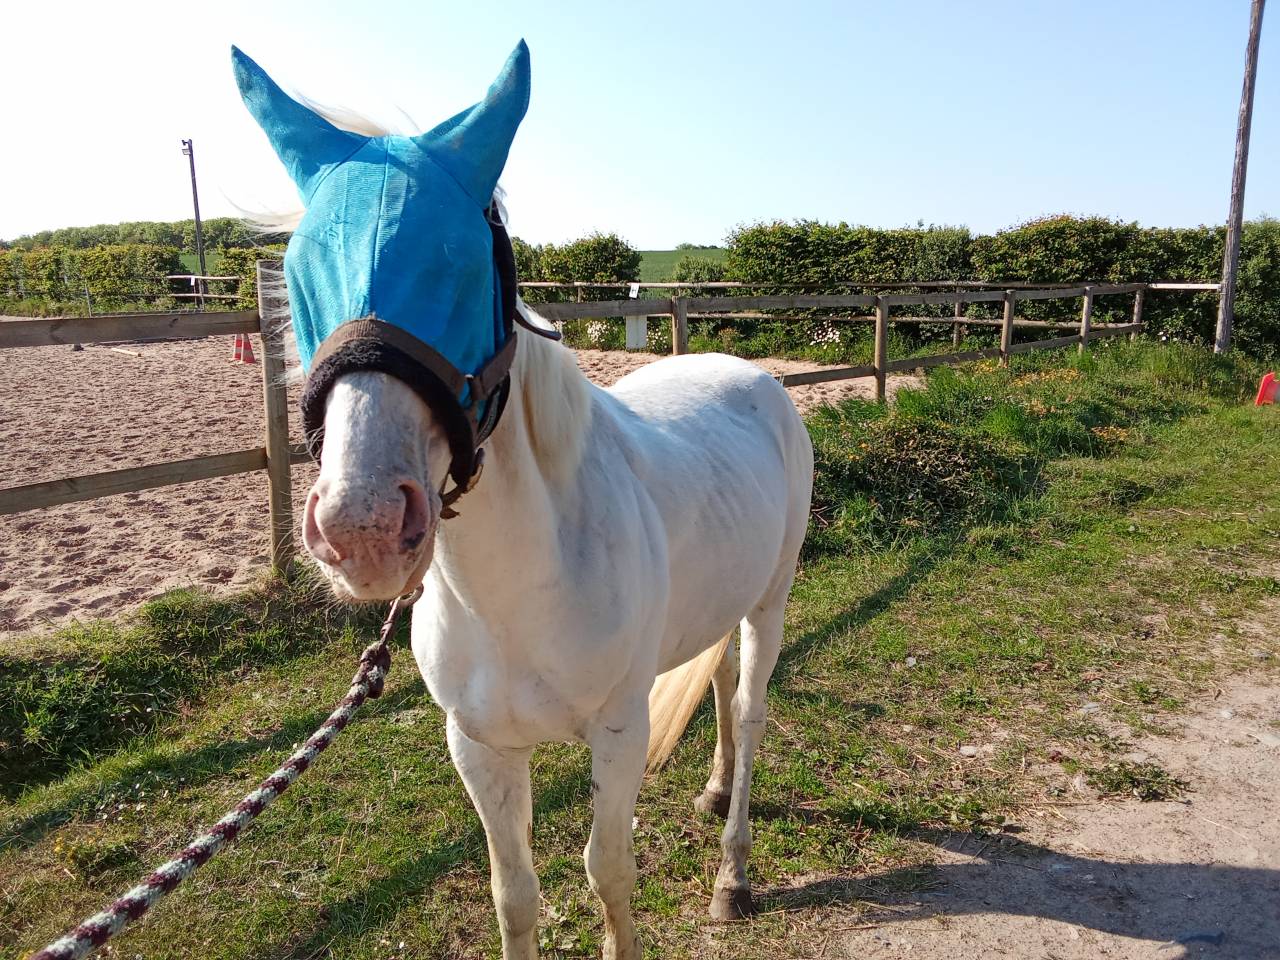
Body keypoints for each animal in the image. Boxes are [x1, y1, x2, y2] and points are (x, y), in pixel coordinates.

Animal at [233, 40, 813, 960]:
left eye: (466, 264)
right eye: (296, 271)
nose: (362, 527)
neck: (518, 592)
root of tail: (753, 376)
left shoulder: (619, 735)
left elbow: (608, 874)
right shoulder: (480, 750)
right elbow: (515, 895)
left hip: (773, 597)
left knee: (751, 709)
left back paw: (734, 873)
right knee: (721, 681)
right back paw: (716, 791)